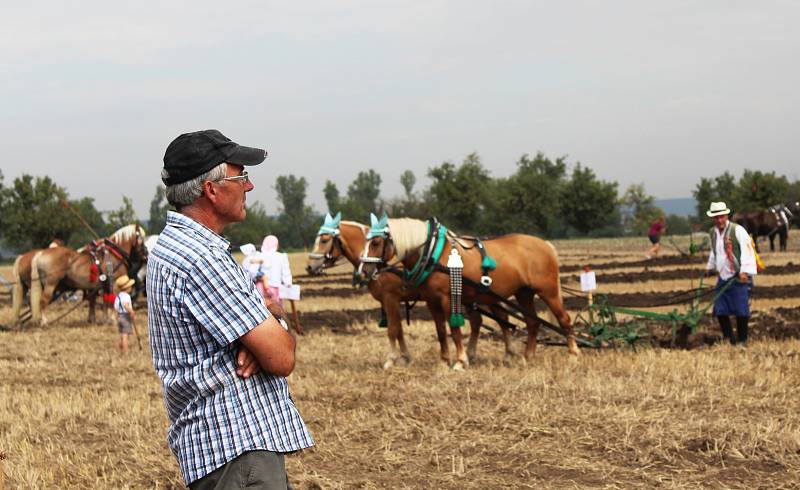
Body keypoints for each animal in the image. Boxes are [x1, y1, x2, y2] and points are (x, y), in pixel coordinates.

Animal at [308, 212, 476, 368]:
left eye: (324, 240)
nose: (309, 267)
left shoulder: (391, 298)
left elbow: (392, 330)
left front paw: (391, 359)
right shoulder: (389, 301)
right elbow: (398, 329)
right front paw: (404, 357)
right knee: (476, 322)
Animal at [360, 216, 580, 370]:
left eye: (376, 242)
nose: (363, 271)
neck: (433, 253)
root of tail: (545, 244)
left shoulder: (447, 298)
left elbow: (454, 328)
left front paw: (460, 361)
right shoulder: (432, 300)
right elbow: (441, 331)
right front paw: (444, 361)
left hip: (548, 291)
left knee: (564, 320)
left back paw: (573, 354)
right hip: (523, 293)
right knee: (533, 322)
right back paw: (527, 357)